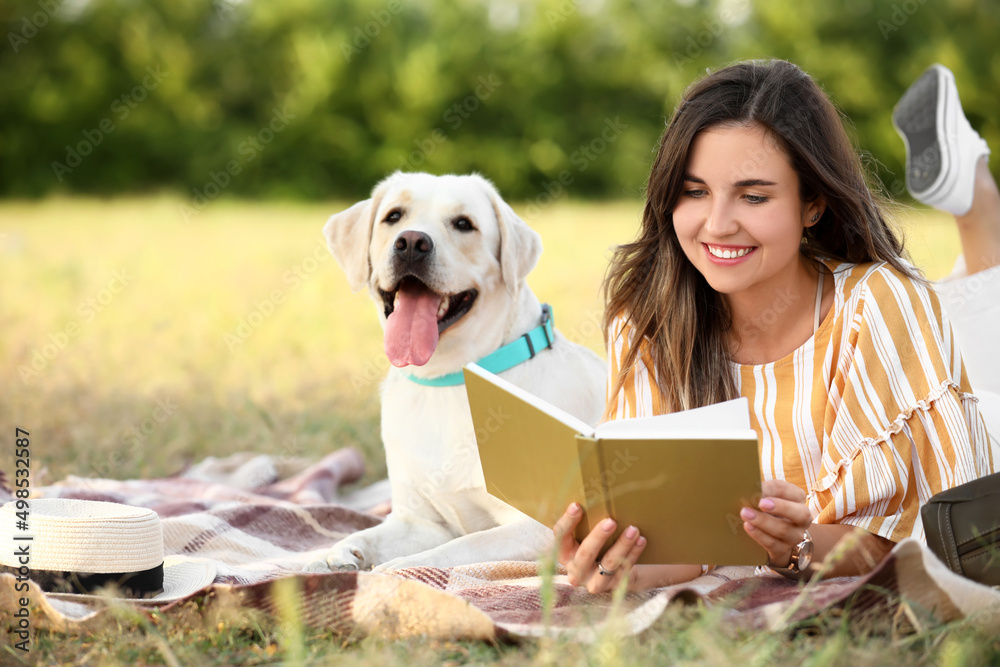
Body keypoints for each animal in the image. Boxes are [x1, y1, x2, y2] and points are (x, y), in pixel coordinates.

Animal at [316, 172, 604, 576]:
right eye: (394, 216)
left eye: (464, 224)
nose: (411, 242)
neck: (448, 378)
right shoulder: (419, 521)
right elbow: (373, 533)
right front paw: (344, 549)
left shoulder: (539, 528)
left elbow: (458, 547)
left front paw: (398, 569)